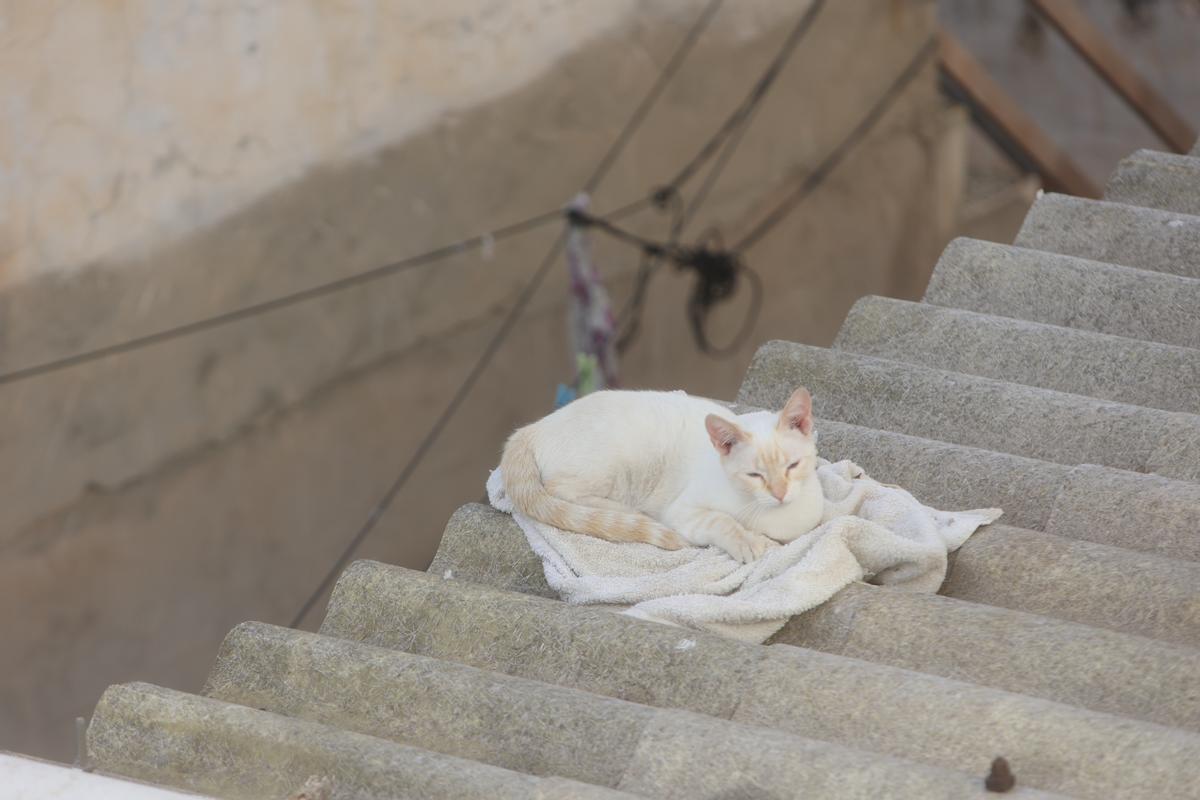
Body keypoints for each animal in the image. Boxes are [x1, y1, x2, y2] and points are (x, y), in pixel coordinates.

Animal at [496, 383, 825, 561]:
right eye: (755, 476)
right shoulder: (683, 512)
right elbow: (722, 521)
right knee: (559, 490)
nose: (780, 493)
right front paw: (749, 541)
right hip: (615, 468)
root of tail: (532, 428)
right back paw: (628, 512)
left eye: (792, 466)